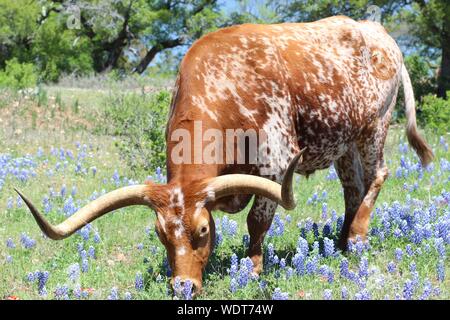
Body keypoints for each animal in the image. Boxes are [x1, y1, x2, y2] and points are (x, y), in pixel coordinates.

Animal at [16, 15, 432, 296]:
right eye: (160, 234)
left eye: (201, 230)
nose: (183, 287)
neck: (226, 82)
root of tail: (377, 31)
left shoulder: (276, 165)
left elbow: (257, 223)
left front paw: (253, 270)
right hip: (343, 142)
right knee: (353, 188)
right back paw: (343, 241)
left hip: (373, 128)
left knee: (378, 175)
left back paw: (357, 239)